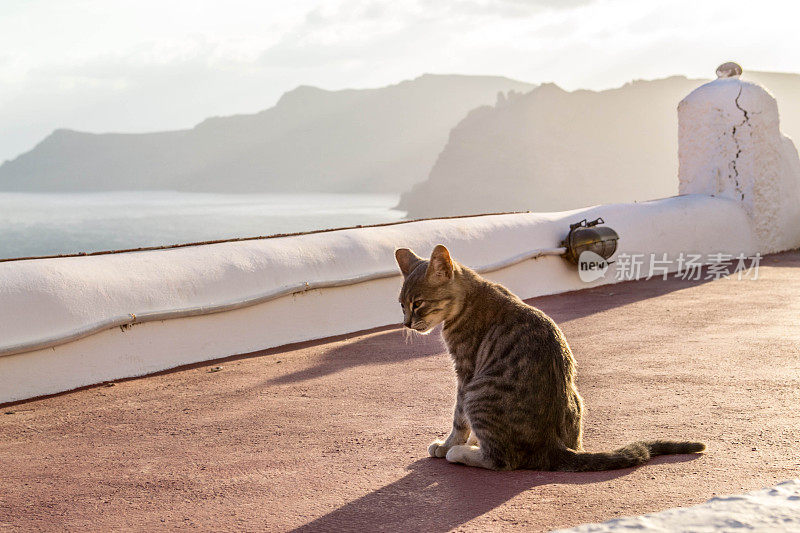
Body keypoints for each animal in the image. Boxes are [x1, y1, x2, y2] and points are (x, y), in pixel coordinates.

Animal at [396, 244, 708, 470]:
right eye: (401, 305)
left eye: (418, 303)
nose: (406, 323)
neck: (471, 296)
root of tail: (552, 446)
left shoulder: (465, 372)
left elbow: (459, 419)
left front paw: (448, 445)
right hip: (576, 398)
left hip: (479, 393)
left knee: (501, 460)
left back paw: (461, 453)